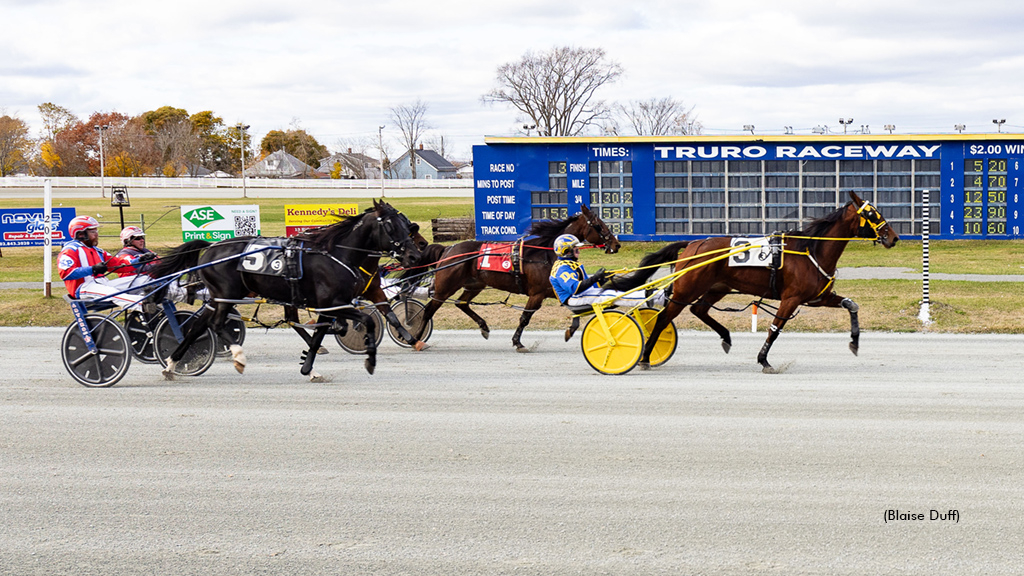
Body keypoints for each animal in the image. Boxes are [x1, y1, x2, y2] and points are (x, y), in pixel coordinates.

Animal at [149, 199, 421, 379]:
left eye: (405, 223)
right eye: (391, 226)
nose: (413, 256)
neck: (336, 253)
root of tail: (212, 247)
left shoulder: (333, 306)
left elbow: (322, 334)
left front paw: (309, 368)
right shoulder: (333, 304)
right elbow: (368, 320)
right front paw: (370, 360)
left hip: (217, 298)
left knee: (197, 326)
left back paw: (171, 365)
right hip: (227, 295)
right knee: (215, 324)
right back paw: (238, 357)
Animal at [407, 204, 614, 350]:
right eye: (598, 225)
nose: (615, 243)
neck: (544, 254)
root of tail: (448, 249)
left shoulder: (552, 290)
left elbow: (575, 307)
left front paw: (570, 330)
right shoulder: (537, 293)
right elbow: (525, 318)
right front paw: (518, 342)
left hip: (474, 285)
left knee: (462, 303)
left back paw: (484, 327)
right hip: (445, 288)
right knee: (429, 310)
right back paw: (415, 339)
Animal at [606, 191, 897, 373]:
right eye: (872, 214)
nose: (893, 237)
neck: (812, 250)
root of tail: (692, 244)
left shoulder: (818, 298)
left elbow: (852, 305)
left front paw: (855, 342)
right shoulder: (791, 298)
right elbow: (775, 329)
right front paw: (764, 360)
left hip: (716, 288)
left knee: (699, 309)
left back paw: (725, 337)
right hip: (686, 289)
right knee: (664, 318)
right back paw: (645, 357)